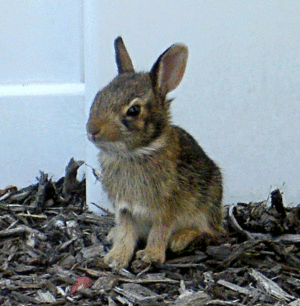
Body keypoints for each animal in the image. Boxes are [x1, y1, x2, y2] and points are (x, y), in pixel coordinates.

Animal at [86, 37, 223, 268]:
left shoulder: (167, 208)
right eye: (99, 96)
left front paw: (150, 256)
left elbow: (160, 230)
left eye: (133, 110)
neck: (136, 152)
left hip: (206, 204)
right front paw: (116, 258)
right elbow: (126, 232)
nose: (92, 130)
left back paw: (181, 239)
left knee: (210, 232)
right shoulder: (124, 209)